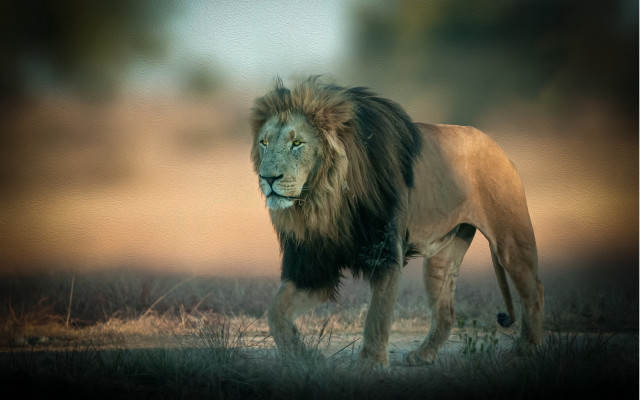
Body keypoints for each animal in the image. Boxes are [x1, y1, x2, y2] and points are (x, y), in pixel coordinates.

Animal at [250, 77, 544, 367]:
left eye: (297, 143)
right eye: (264, 142)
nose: (268, 178)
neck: (324, 199)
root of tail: (497, 146)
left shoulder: (385, 251)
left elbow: (377, 316)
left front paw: (370, 364)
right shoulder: (314, 267)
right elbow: (275, 313)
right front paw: (305, 357)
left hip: (511, 241)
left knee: (534, 291)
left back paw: (525, 349)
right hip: (441, 257)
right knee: (446, 312)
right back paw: (423, 355)